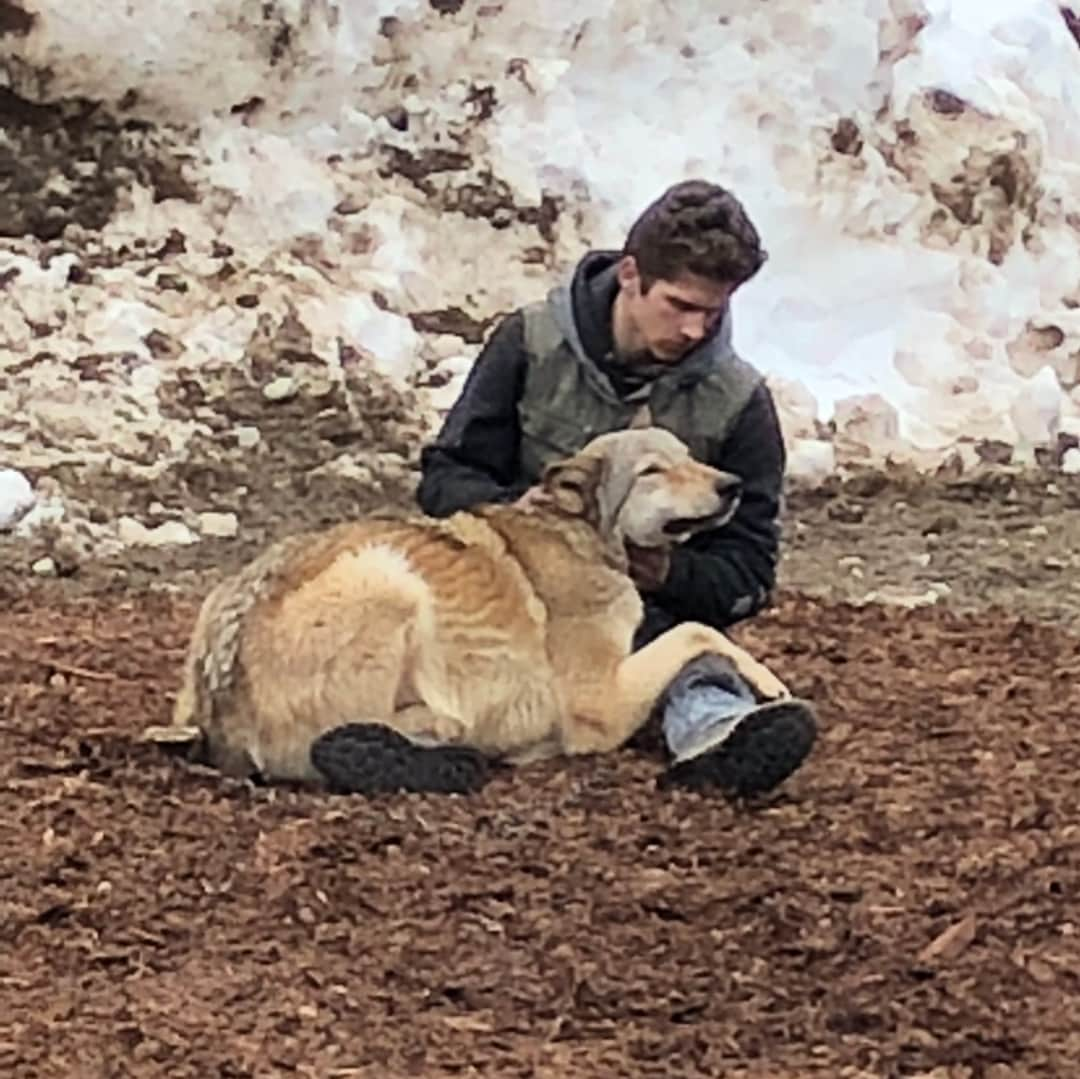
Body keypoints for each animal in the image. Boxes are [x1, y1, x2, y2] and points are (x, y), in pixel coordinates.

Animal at [147, 425, 790, 790]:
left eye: (692, 456)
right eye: (653, 471)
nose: (734, 484)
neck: (582, 536)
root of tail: (216, 716)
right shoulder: (599, 706)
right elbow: (697, 629)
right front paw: (773, 683)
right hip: (388, 575)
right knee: (327, 745)